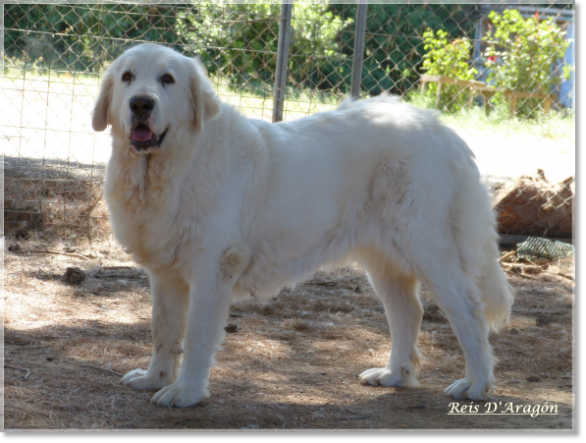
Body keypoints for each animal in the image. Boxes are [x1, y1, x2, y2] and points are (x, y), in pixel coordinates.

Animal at [91, 43, 512, 408]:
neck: (169, 169)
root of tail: (440, 127)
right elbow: (163, 331)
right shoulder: (166, 275)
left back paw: (475, 384)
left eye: (168, 79)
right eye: (128, 77)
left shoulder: (212, 270)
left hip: (429, 250)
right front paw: (155, 378)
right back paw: (394, 374)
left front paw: (185, 392)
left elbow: (195, 338)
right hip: (384, 260)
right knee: (409, 312)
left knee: (468, 313)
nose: (141, 103)